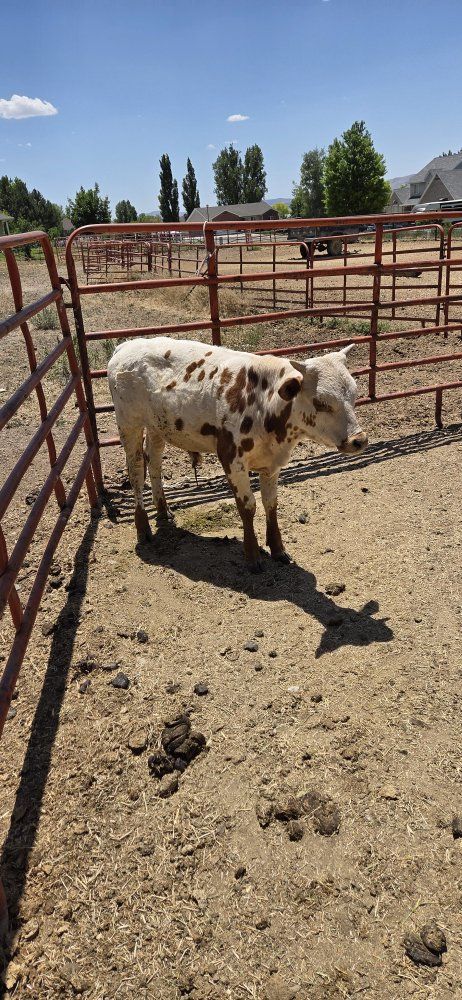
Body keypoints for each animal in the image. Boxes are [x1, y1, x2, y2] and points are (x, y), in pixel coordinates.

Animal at [107, 337, 367, 570]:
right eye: (321, 402)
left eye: (354, 395)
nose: (359, 440)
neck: (265, 404)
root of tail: (125, 346)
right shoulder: (232, 460)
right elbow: (248, 506)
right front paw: (252, 556)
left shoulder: (272, 464)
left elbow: (270, 503)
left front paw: (278, 549)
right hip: (128, 424)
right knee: (136, 470)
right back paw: (143, 529)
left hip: (156, 427)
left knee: (154, 462)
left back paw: (162, 509)